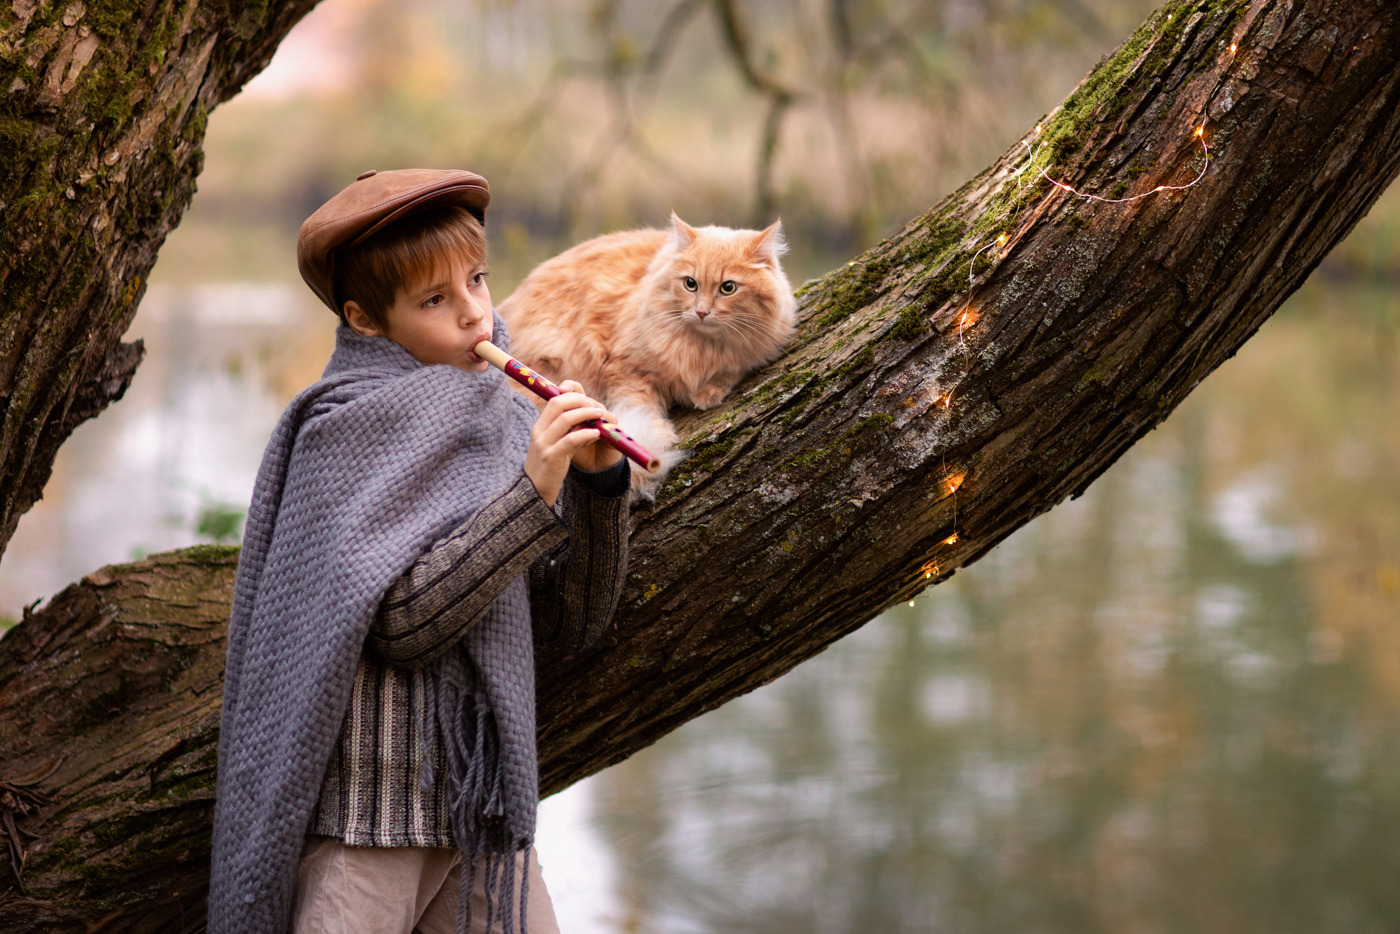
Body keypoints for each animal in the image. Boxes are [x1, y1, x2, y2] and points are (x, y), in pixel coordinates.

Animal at [498, 214, 795, 495]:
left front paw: (708, 392)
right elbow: (640, 405)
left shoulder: (754, 350)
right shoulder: (625, 367)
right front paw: (657, 437)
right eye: (690, 284)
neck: (702, 348)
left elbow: (732, 370)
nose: (701, 312)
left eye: (728, 288)